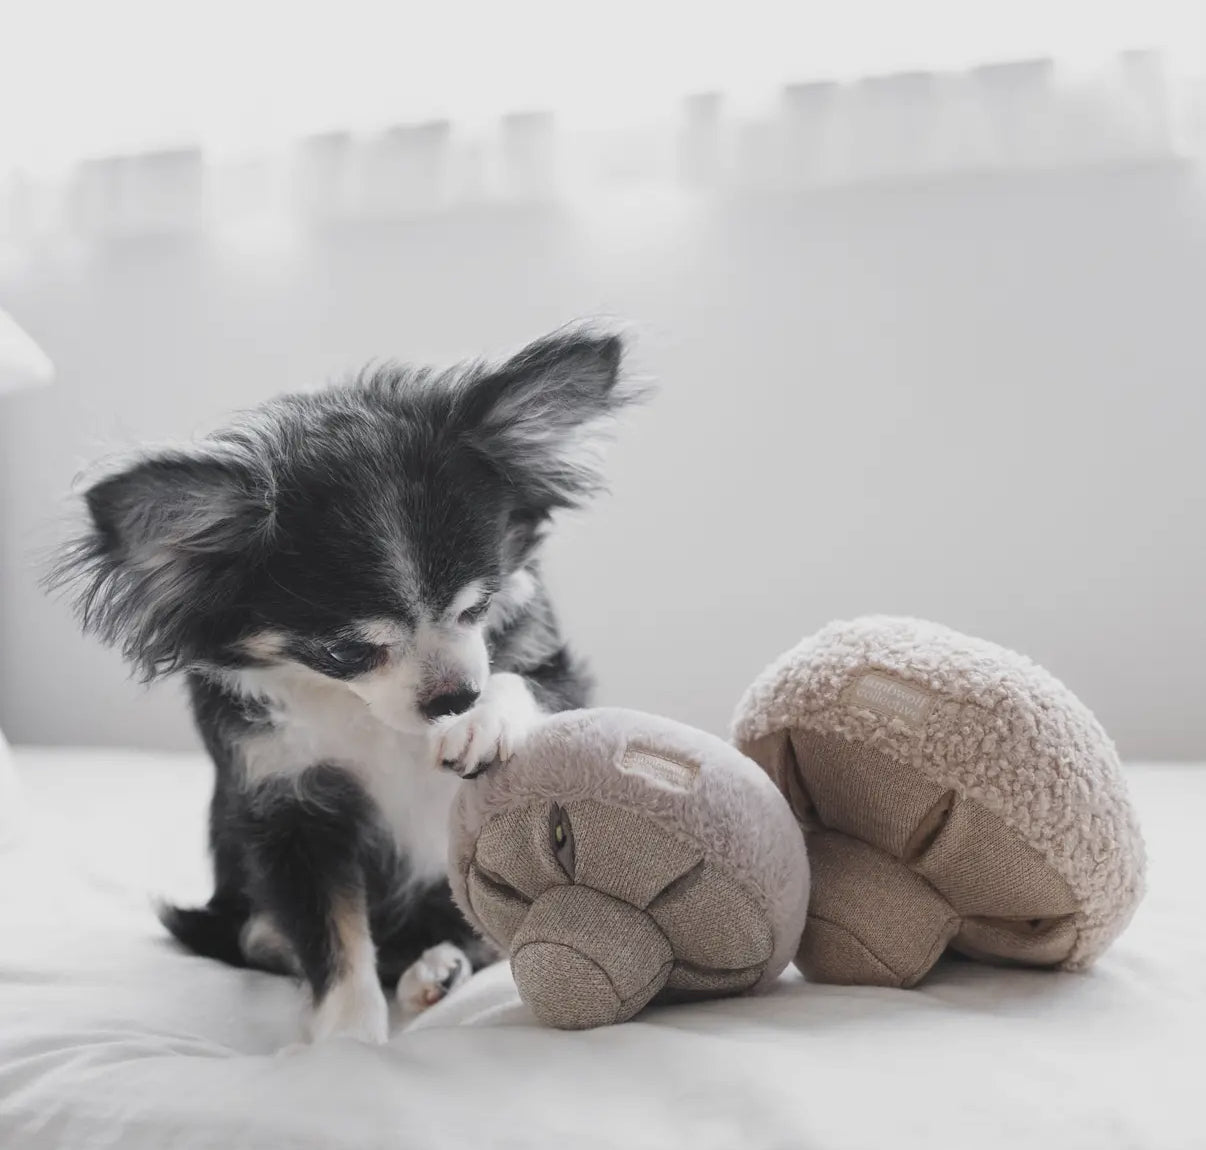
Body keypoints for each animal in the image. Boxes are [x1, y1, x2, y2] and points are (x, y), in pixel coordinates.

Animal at [50, 327, 640, 1044]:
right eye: (345, 652)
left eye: (478, 607)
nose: (454, 698)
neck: (369, 715)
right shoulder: (289, 810)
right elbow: (332, 941)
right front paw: (348, 1044)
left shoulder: (560, 678)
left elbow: (521, 682)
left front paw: (482, 722)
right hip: (238, 909)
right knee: (268, 937)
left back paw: (438, 969)